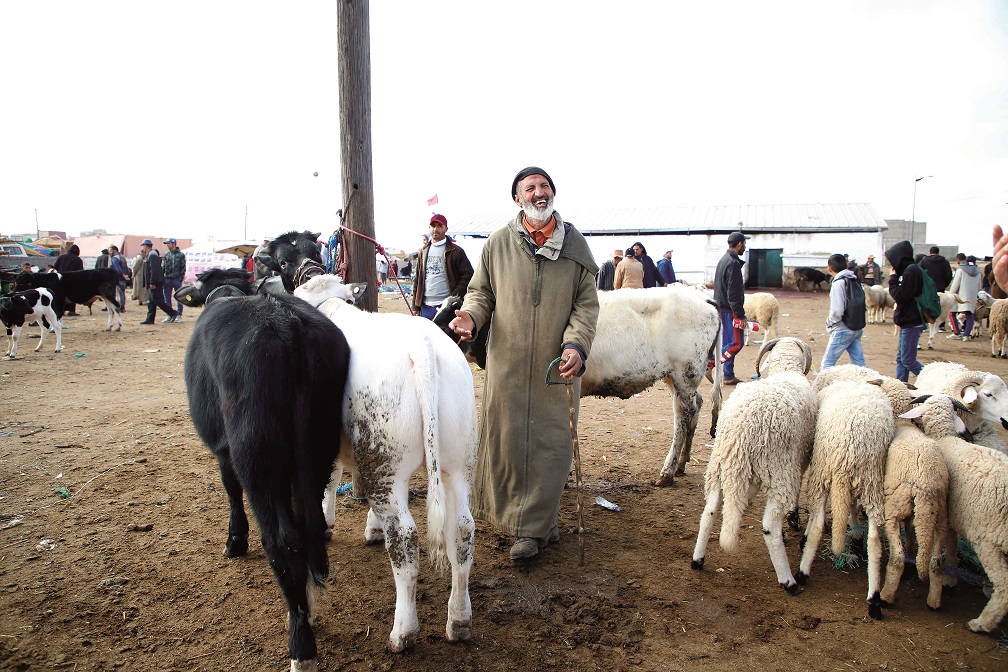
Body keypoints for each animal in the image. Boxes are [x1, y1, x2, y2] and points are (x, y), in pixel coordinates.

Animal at [180, 265, 350, 668]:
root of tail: (285, 321)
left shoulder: (223, 449)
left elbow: (230, 488)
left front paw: (234, 540)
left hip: (256, 454)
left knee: (282, 540)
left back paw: (301, 644)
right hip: (317, 445)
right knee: (309, 524)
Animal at [693, 336, 818, 592]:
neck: (785, 370)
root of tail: (742, 427)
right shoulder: (799, 461)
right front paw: (794, 516)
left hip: (720, 464)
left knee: (709, 512)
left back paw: (698, 559)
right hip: (780, 469)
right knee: (769, 527)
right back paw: (788, 581)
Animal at [903, 390, 1008, 632]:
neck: (945, 438)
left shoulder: (948, 516)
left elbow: (949, 545)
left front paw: (948, 578)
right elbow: (952, 546)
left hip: (989, 541)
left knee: (1005, 585)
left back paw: (981, 623)